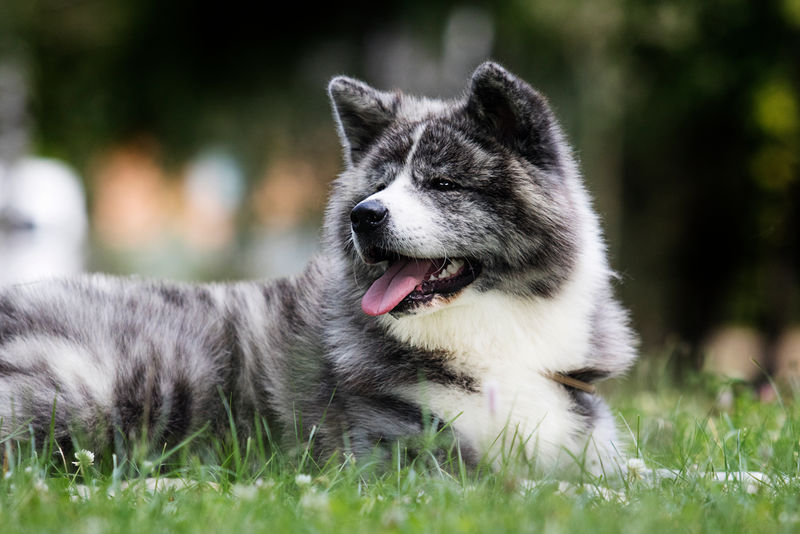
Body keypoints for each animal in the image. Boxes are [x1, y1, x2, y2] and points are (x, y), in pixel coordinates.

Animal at [0, 62, 636, 478]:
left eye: (443, 183)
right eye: (380, 183)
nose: (365, 215)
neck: (496, 341)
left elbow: (634, 475)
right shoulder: (401, 461)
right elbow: (516, 484)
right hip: (118, 382)